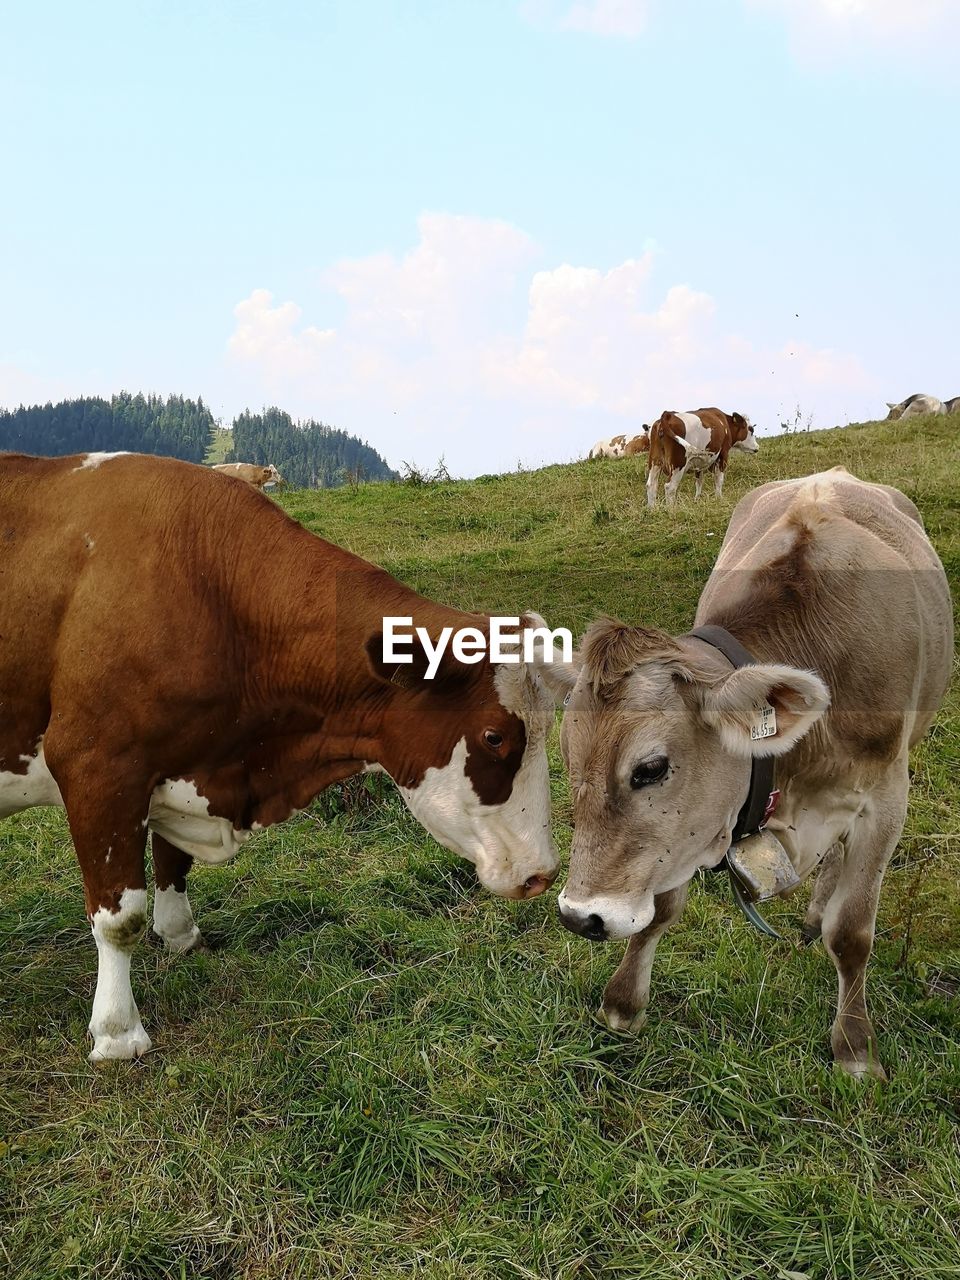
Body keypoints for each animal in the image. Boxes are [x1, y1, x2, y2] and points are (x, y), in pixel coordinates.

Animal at [0, 455, 563, 1064]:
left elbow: (173, 860)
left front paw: (179, 936)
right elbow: (119, 917)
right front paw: (117, 1032)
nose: (543, 874)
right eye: (494, 737)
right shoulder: (97, 765)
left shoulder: (178, 765)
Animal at [547, 471, 957, 1080]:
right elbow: (661, 908)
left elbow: (852, 933)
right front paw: (623, 1004)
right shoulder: (694, 822)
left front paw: (856, 1049)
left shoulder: (886, 799)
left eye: (651, 768)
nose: (581, 918)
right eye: (569, 759)